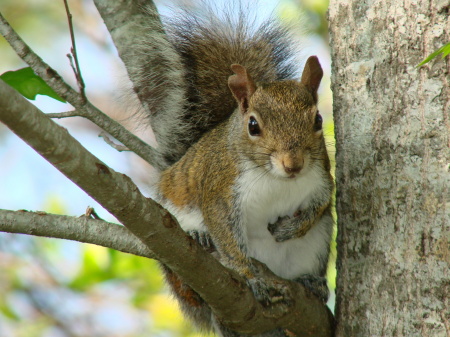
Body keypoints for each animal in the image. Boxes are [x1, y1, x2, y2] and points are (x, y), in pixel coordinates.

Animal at [132, 3, 332, 336]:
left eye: (318, 120)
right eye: (253, 125)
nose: (293, 165)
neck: (275, 179)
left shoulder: (322, 176)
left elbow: (322, 204)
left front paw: (292, 227)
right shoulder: (221, 188)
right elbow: (226, 234)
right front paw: (250, 277)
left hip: (317, 245)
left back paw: (311, 282)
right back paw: (197, 239)